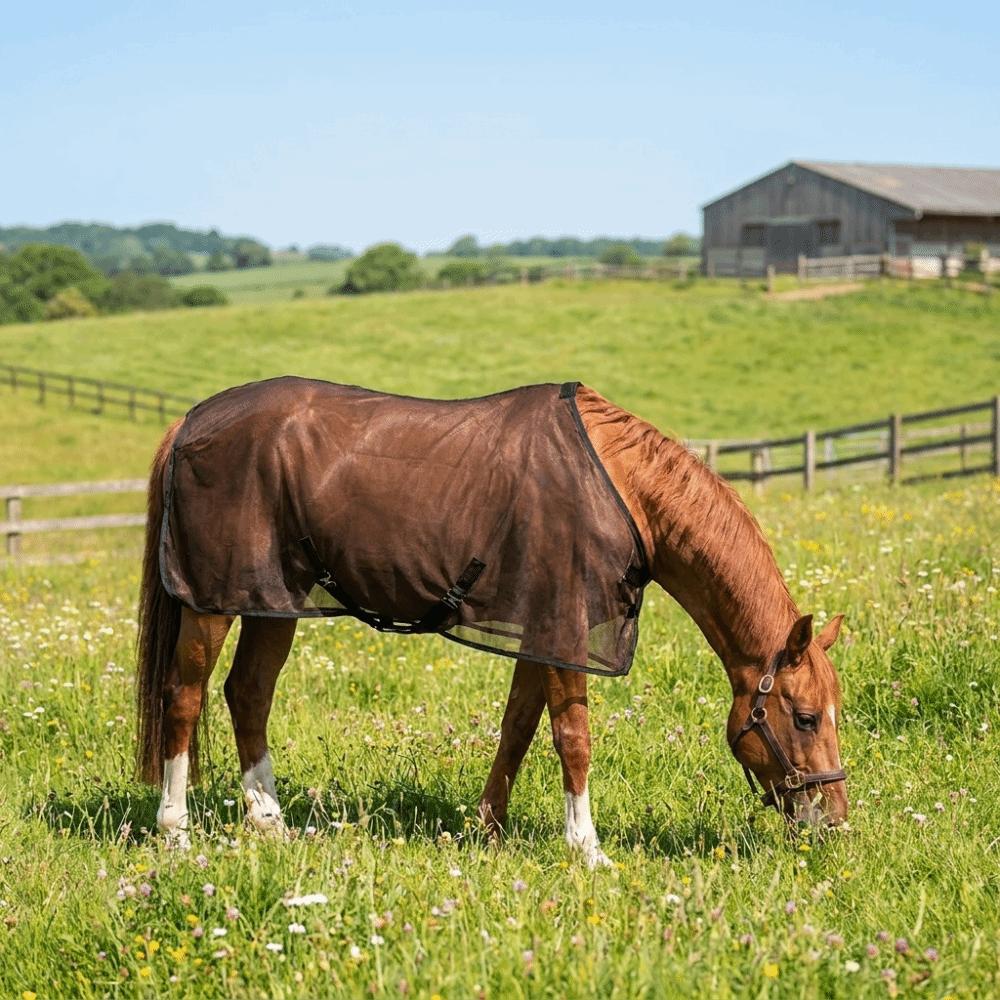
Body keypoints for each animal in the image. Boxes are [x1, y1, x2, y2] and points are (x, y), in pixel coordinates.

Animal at [136, 380, 847, 863]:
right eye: (806, 717)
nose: (834, 820)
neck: (620, 488)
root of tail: (192, 421)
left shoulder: (542, 631)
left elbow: (518, 728)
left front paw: (490, 829)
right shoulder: (565, 629)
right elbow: (572, 737)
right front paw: (587, 849)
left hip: (272, 601)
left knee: (249, 693)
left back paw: (271, 823)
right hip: (210, 604)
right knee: (185, 697)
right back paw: (175, 832)